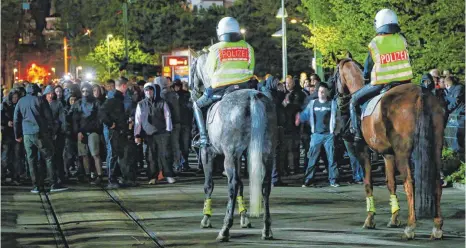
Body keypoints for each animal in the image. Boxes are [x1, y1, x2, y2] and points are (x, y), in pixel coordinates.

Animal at [190, 51, 276, 240]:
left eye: (192, 69)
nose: (192, 90)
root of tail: (252, 97)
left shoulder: (208, 154)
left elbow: (209, 185)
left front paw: (206, 217)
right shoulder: (240, 156)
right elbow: (244, 185)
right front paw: (244, 216)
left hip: (229, 155)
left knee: (233, 185)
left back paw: (225, 229)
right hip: (266, 152)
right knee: (265, 185)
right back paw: (266, 229)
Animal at [334, 57, 444, 239]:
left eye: (334, 76)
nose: (339, 99)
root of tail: (420, 95)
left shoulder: (363, 150)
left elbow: (368, 183)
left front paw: (370, 219)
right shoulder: (388, 154)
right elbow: (391, 183)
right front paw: (394, 218)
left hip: (403, 153)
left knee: (409, 182)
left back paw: (410, 227)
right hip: (435, 148)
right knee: (436, 180)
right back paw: (437, 226)